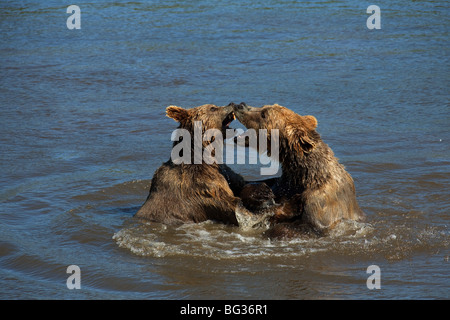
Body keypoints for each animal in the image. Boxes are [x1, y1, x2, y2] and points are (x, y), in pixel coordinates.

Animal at [232, 102, 366, 238]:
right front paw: (261, 192)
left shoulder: (321, 205)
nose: (240, 105)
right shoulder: (284, 184)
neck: (305, 176)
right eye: (264, 107)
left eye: (264, 114)